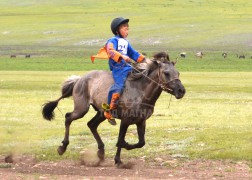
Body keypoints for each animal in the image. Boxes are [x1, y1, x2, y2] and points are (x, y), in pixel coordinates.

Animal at [41, 51, 185, 167]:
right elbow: (121, 140)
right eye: (166, 73)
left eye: (178, 73)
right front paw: (118, 159)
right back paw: (62, 147)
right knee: (68, 118)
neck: (141, 92)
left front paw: (121, 153)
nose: (181, 91)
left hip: (101, 113)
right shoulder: (125, 120)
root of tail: (80, 79)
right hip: (81, 109)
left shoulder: (141, 121)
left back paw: (100, 152)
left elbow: (140, 142)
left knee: (91, 124)